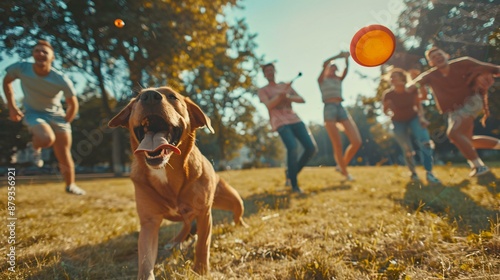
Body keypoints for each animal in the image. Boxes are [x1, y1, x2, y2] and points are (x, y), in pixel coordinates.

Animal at [110, 86, 249, 278]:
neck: (165, 171)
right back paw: (176, 241)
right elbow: (145, 261)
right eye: (137, 98)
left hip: (234, 200)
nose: (149, 96)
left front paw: (201, 270)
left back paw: (241, 226)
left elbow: (202, 244)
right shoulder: (149, 223)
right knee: (186, 224)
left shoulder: (204, 213)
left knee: (235, 215)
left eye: (172, 96)